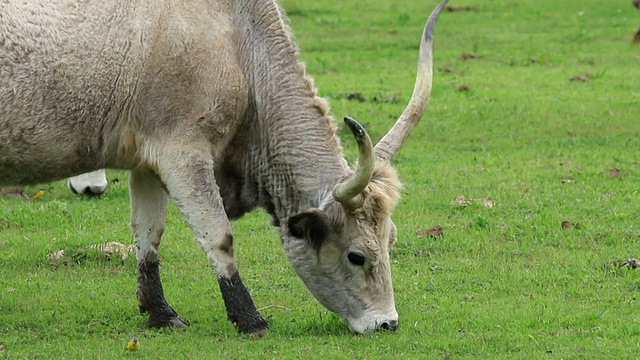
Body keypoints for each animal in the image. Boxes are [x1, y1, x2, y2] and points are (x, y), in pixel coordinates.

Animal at [0, 0, 448, 334]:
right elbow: (219, 237)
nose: (386, 323)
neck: (235, 39)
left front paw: (159, 313)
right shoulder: (183, 152)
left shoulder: (147, 160)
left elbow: (148, 236)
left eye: (390, 241)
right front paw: (249, 317)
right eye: (356, 256)